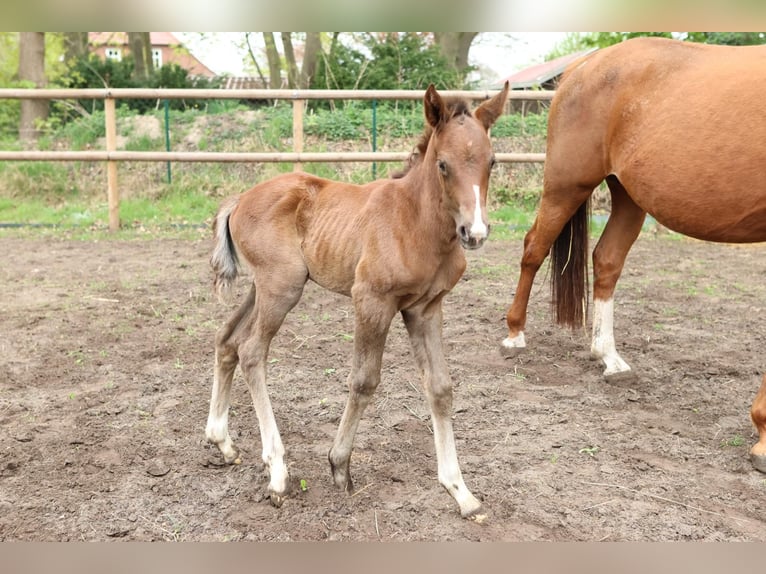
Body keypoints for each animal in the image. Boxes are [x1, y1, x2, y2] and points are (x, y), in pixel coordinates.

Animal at [205, 82, 509, 518]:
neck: (415, 222)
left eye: (492, 161)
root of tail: (241, 198)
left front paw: (460, 490)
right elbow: (364, 381)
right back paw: (277, 471)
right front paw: (339, 465)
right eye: (443, 164)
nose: (475, 232)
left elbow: (440, 387)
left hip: (262, 288)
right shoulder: (371, 300)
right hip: (282, 288)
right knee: (251, 352)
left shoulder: (426, 308)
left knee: (227, 339)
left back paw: (222, 441)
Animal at [499, 36, 766, 472]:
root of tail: (583, 66)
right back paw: (514, 335)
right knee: (534, 249)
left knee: (605, 260)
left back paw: (609, 357)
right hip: (566, 184)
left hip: (627, 196)